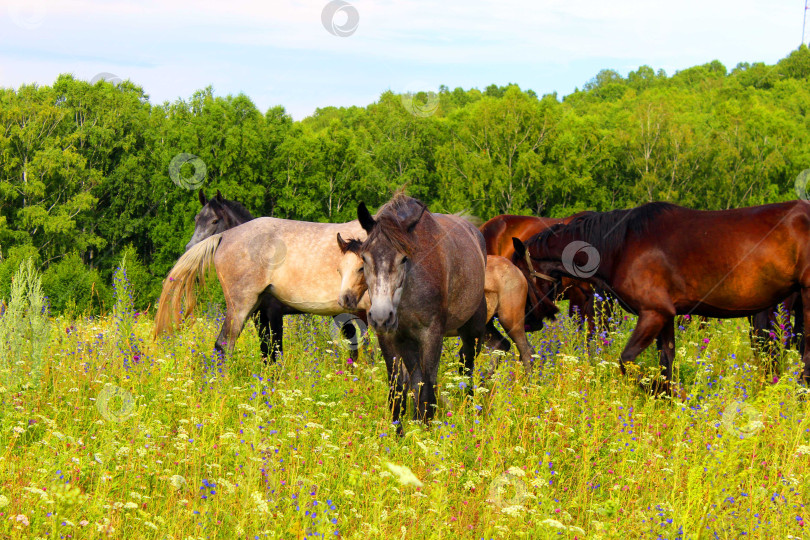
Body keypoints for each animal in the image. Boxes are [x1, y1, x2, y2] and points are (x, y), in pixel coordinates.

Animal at [154, 190, 366, 362]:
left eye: (215, 220)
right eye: (197, 218)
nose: (188, 247)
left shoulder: (272, 314)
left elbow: (273, 351)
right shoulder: (262, 315)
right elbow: (268, 351)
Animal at [356, 193, 486, 430]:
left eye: (403, 258)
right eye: (364, 258)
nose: (381, 317)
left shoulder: (431, 335)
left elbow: (428, 388)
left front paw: (425, 432)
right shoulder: (391, 338)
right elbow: (398, 390)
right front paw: (399, 433)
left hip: (473, 332)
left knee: (467, 367)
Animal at [516, 200, 808, 394]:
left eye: (521, 275)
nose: (528, 321)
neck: (621, 246)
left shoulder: (653, 313)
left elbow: (627, 360)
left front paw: (658, 390)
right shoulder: (666, 316)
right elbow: (666, 360)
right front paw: (670, 397)